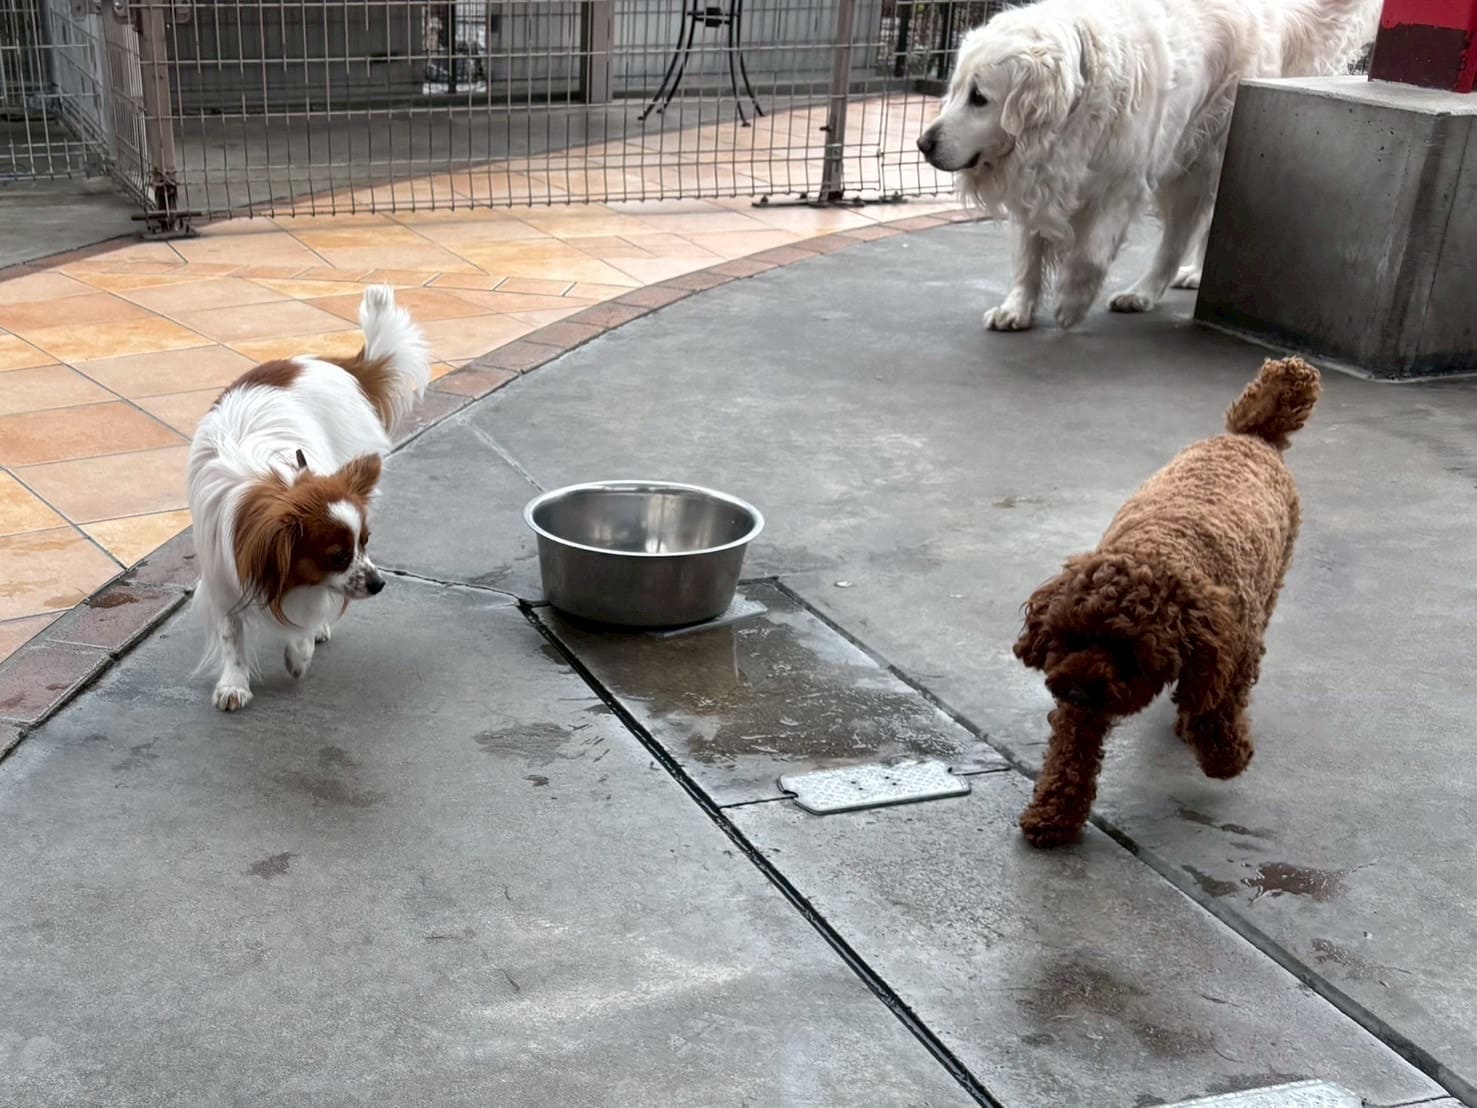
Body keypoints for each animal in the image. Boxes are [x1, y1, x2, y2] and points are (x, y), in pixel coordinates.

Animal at [187, 286, 430, 711]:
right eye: (338, 556)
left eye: (366, 543)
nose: (379, 584)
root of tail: (333, 364)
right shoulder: (221, 575)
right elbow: (231, 633)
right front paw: (234, 682)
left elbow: (306, 619)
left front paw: (299, 653)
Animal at [916, 0, 1376, 331]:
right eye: (954, 89)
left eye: (980, 97)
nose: (923, 144)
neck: (1077, 104)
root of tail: (1270, 11)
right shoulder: (1037, 176)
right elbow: (1028, 252)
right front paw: (1017, 308)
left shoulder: (1123, 184)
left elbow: (1090, 255)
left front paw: (1071, 302)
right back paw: (1191, 273)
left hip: (1197, 161)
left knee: (1177, 238)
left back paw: (1143, 292)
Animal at [1012, 357, 1321, 846]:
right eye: (1070, 637)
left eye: (1131, 653)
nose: (1077, 690)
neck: (1161, 550)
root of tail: (1252, 436)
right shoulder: (1081, 687)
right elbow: (1072, 751)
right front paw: (1054, 813)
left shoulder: (1233, 649)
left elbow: (1216, 707)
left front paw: (1225, 757)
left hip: (1273, 582)